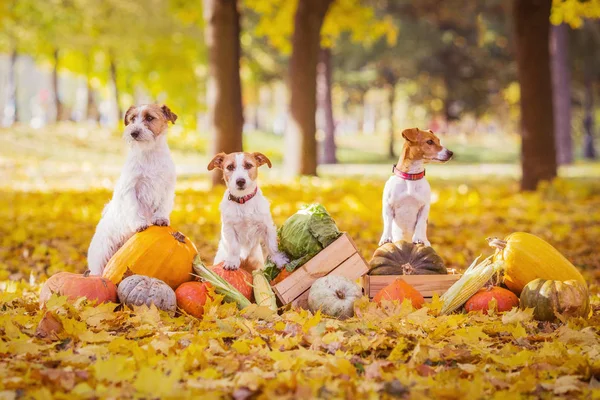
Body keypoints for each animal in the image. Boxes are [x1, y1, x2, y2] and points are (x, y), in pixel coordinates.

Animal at [86, 104, 177, 276]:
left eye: (149, 118)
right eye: (133, 119)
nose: (133, 132)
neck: (149, 154)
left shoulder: (167, 187)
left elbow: (163, 205)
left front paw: (161, 219)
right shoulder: (130, 189)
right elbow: (134, 208)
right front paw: (140, 224)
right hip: (101, 255)